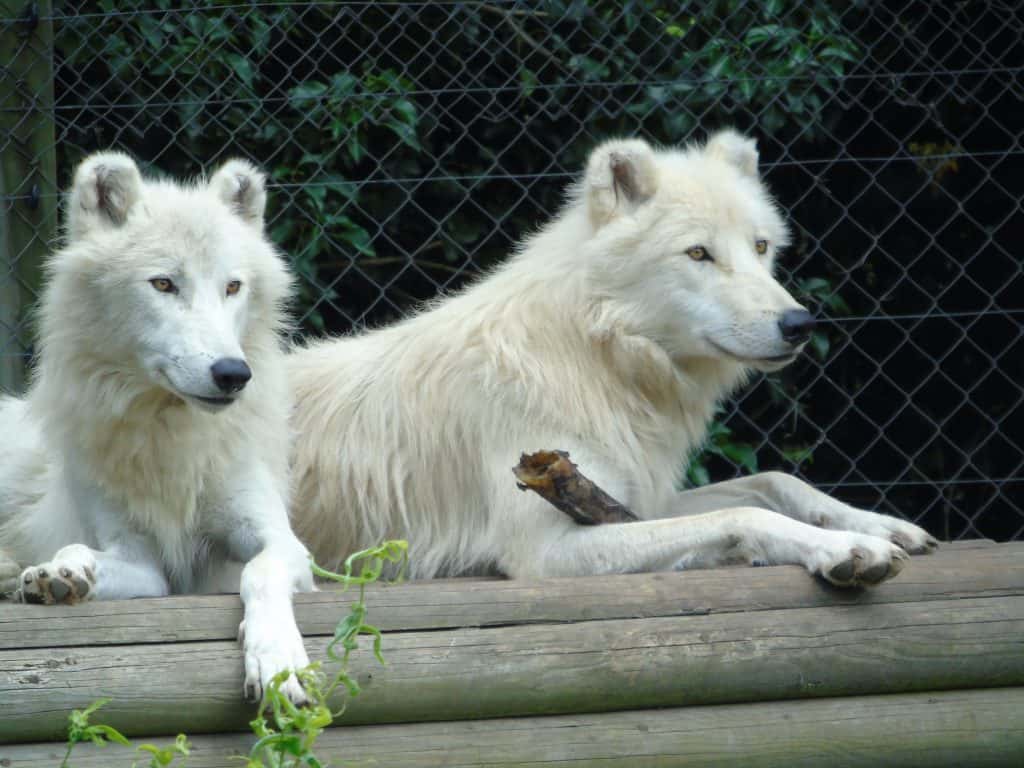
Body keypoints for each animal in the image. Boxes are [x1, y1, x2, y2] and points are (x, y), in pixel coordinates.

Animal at [0, 153, 312, 703]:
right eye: (164, 284)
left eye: (233, 287)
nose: (233, 374)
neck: (170, 436)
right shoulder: (140, 559)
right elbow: (81, 551)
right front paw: (60, 574)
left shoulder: (282, 543)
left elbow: (261, 570)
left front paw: (277, 660)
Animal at [288, 130, 938, 586]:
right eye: (698, 254)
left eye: (760, 248)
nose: (799, 324)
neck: (596, 360)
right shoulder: (544, 551)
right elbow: (745, 517)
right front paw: (847, 549)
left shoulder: (638, 497)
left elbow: (774, 481)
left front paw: (882, 525)